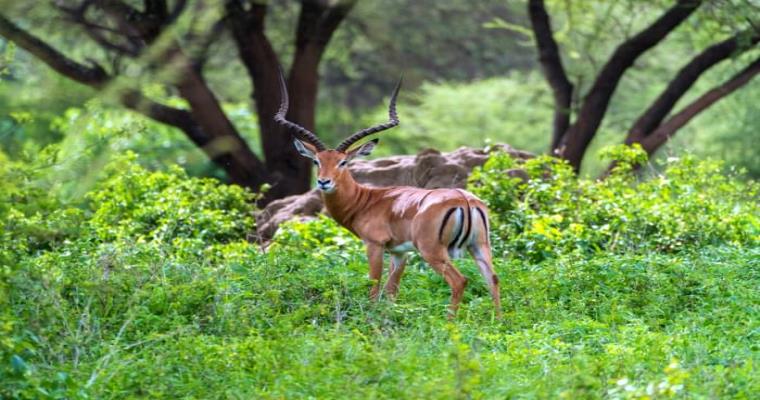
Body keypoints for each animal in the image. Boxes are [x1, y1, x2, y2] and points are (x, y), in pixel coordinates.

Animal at [275, 73, 501, 318]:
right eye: (317, 161)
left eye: (343, 162)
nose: (324, 181)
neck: (367, 201)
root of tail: (464, 200)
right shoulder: (399, 252)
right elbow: (392, 290)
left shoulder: (374, 244)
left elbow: (374, 285)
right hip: (479, 246)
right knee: (493, 279)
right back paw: (498, 321)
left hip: (432, 251)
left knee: (460, 281)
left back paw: (451, 322)